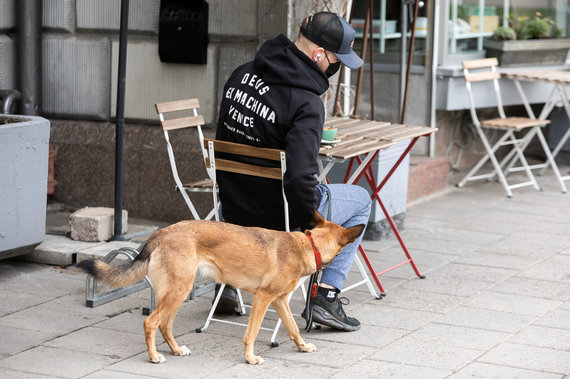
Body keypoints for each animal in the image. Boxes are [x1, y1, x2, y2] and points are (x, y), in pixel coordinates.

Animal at [75, 211, 362, 366]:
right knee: (151, 323)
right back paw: (154, 356)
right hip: (178, 291)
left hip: (176, 293)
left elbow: (293, 329)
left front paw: (302, 347)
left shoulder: (280, 301)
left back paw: (176, 350)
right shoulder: (263, 298)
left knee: (164, 326)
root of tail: (162, 232)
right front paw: (250, 358)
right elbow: (251, 333)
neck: (308, 245)